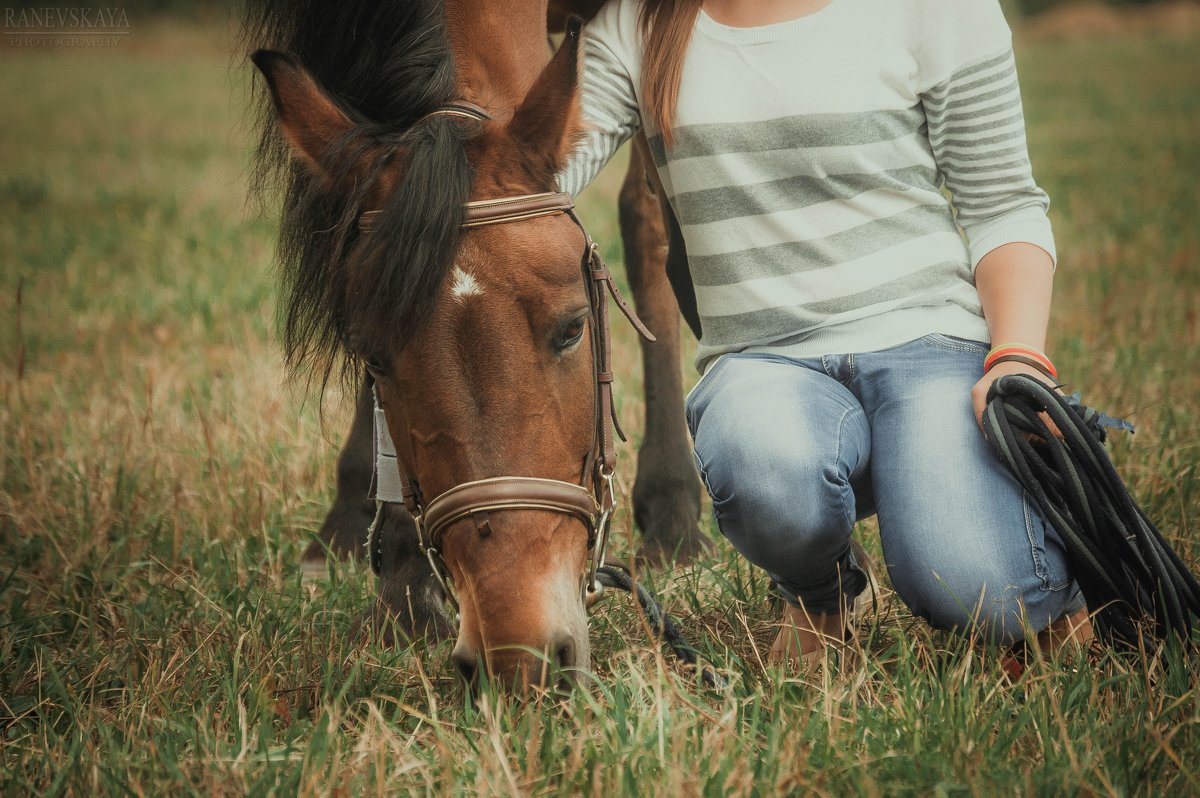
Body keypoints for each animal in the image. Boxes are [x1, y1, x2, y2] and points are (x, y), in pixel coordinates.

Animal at [248, 0, 705, 686]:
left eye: (573, 327)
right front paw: (404, 582)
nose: (519, 656)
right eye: (371, 356)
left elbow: (657, 210)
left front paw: (675, 511)